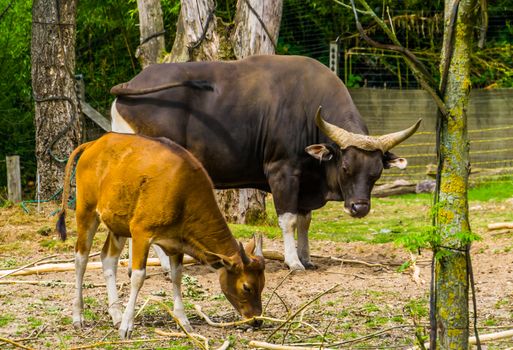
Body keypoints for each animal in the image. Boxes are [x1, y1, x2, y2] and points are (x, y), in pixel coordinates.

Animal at [55, 133, 264, 338]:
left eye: (262, 284)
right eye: (247, 287)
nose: (257, 320)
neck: (183, 193)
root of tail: (93, 144)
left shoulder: (177, 242)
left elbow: (177, 276)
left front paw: (183, 321)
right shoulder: (140, 232)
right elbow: (138, 277)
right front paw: (127, 326)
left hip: (117, 223)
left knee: (108, 258)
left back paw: (116, 315)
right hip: (86, 211)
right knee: (81, 258)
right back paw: (78, 316)